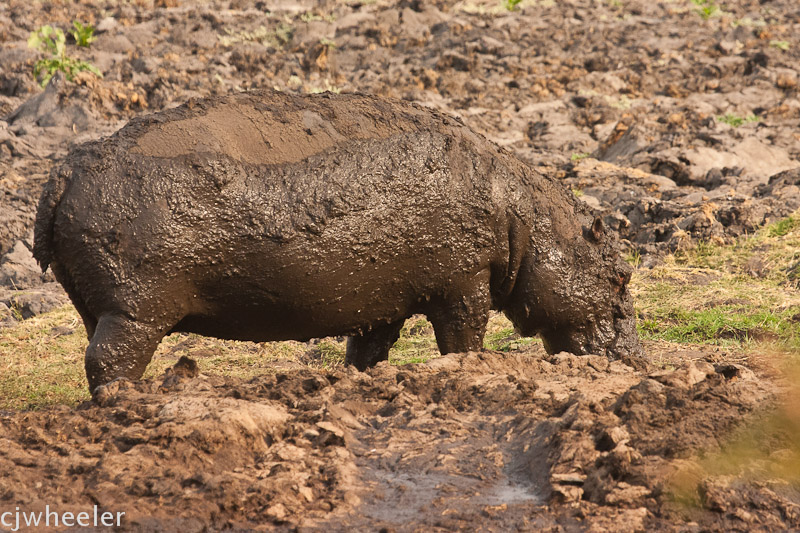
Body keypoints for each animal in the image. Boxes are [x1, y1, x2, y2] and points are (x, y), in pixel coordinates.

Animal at [34, 90, 644, 390]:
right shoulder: (463, 286)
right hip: (136, 310)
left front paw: (359, 383)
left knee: (95, 353)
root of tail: (64, 172)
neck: (528, 221)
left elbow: (368, 351)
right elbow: (463, 340)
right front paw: (473, 370)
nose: (642, 363)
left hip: (100, 305)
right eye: (622, 275)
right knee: (108, 362)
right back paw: (127, 405)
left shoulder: (384, 302)